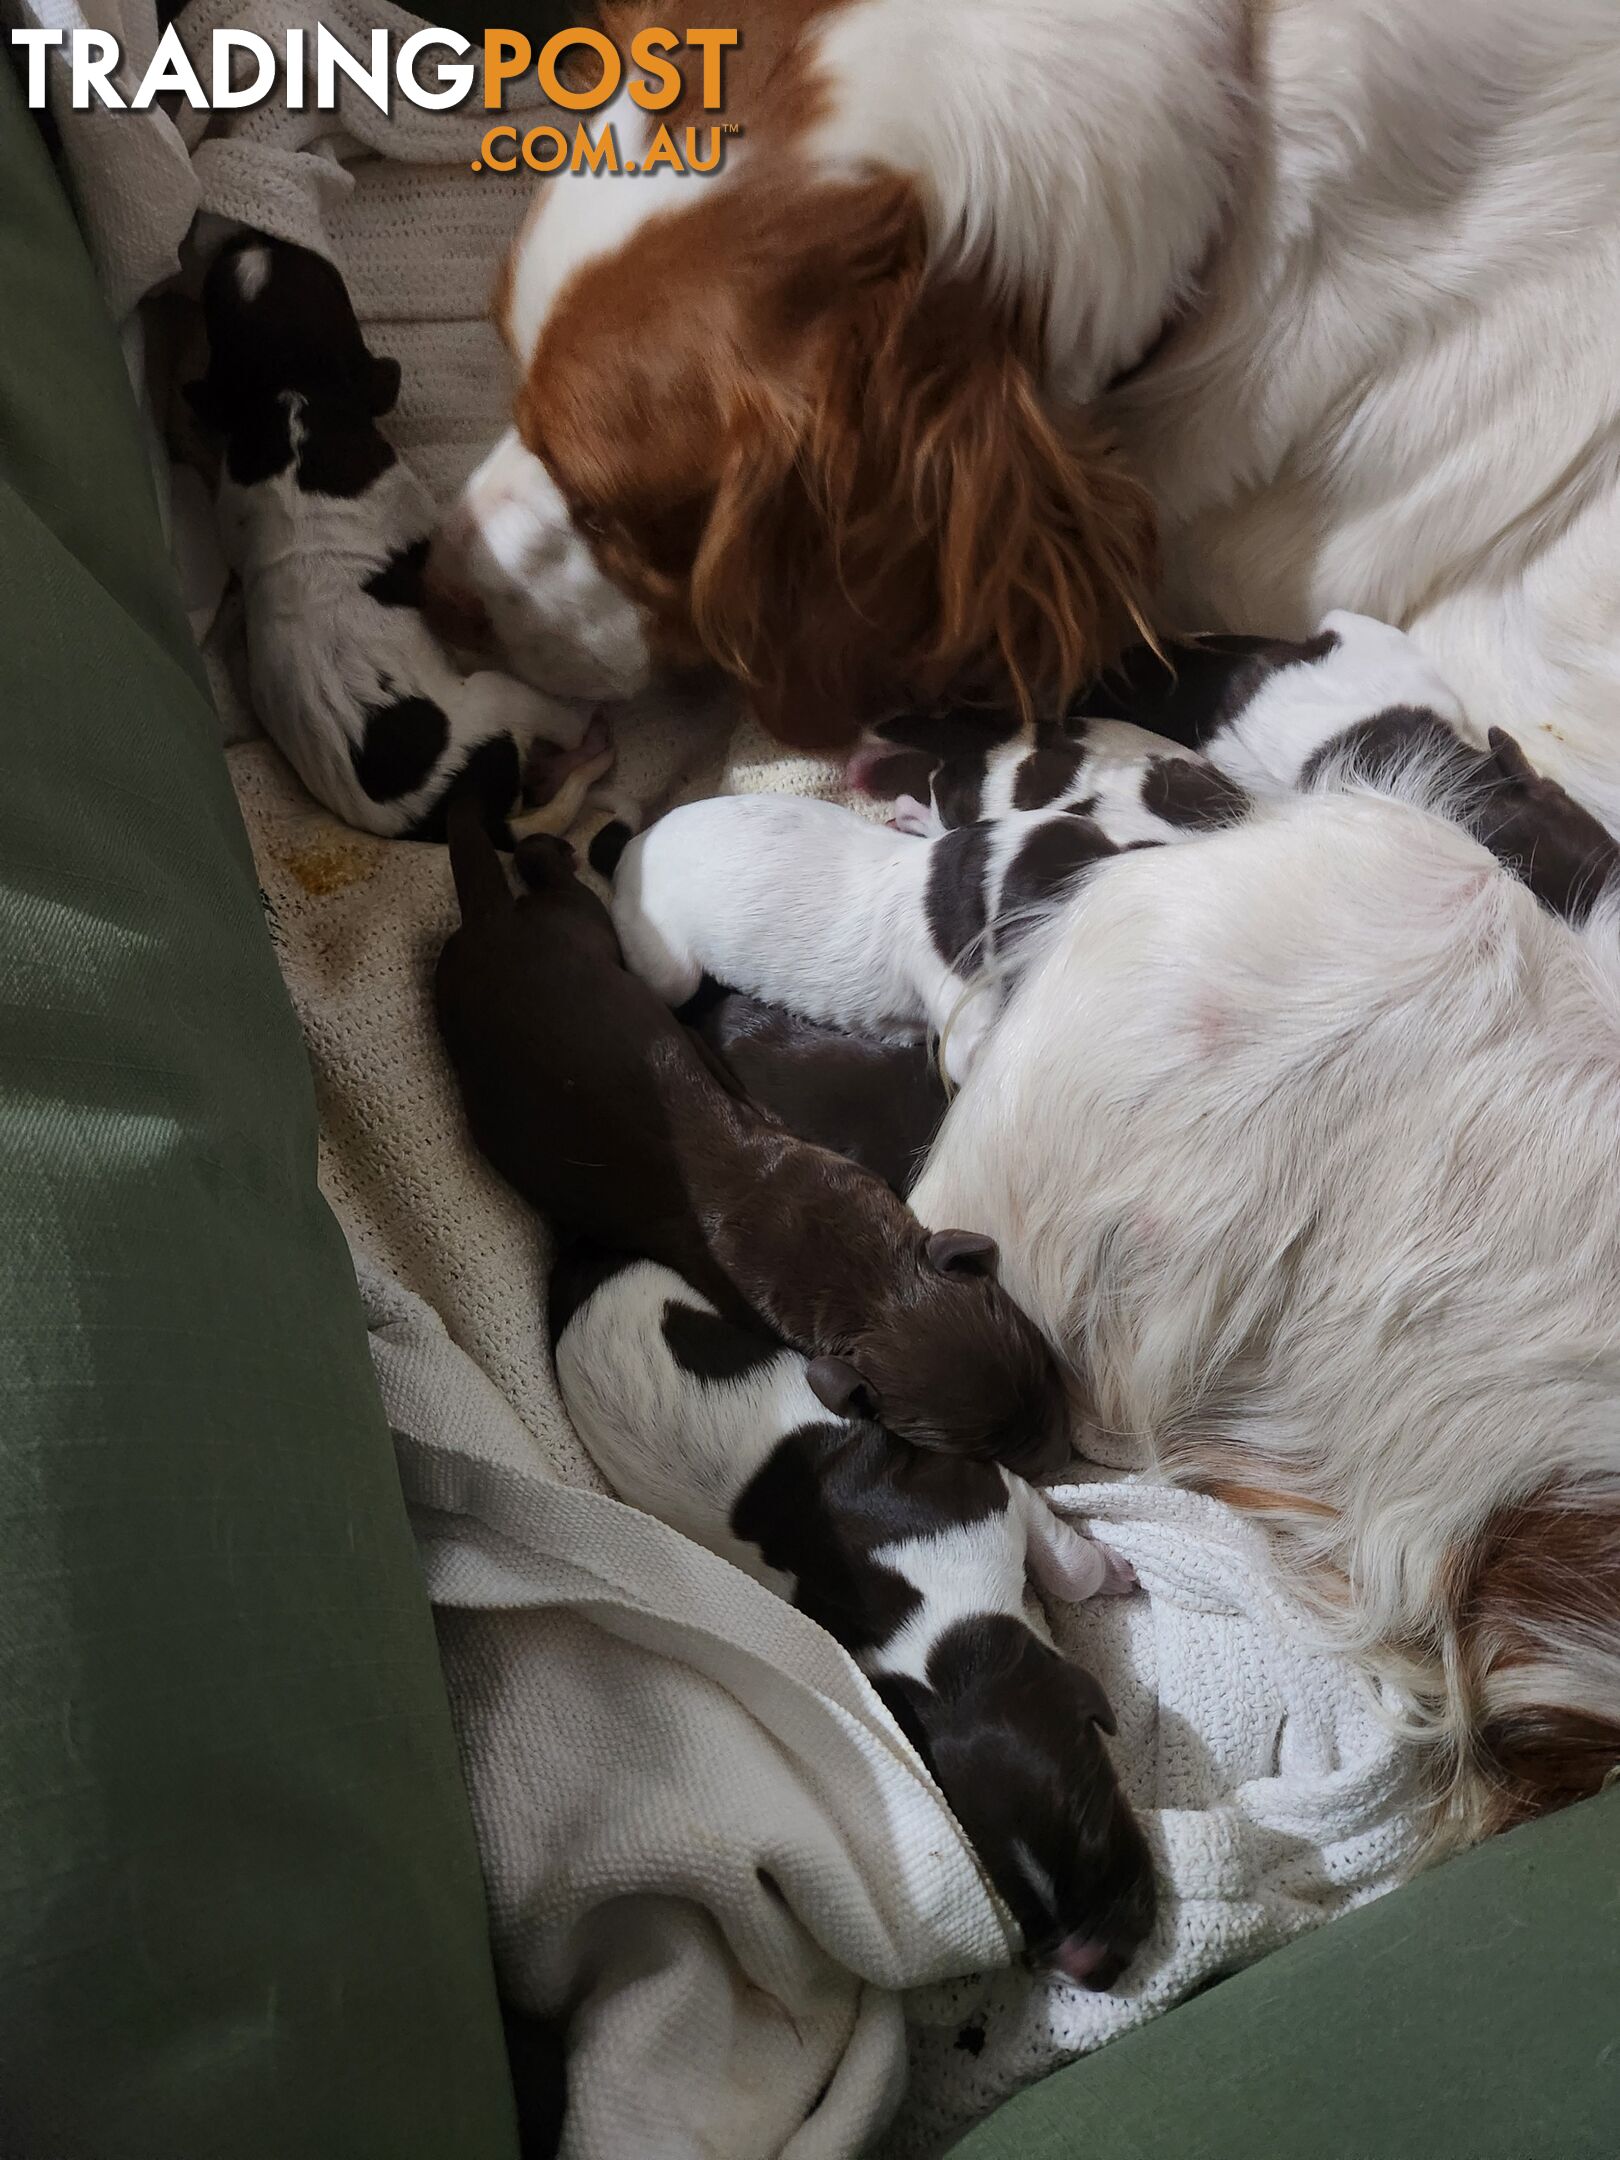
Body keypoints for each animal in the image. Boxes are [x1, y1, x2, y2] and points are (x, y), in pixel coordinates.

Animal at [190, 236, 609, 838]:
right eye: (326, 276)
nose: (245, 236)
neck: (286, 393)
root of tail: (455, 810)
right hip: (498, 697)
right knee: (566, 724)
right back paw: (591, 731)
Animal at [440, 803, 1080, 1477]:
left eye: (1037, 1362)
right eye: (980, 1451)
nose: (1062, 1460)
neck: (861, 1273)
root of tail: (487, 922)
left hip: (571, 930)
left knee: (555, 881)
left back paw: (549, 848)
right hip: (612, 957)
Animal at [557, 1252, 1157, 1987]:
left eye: (1094, 1834)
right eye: (1006, 1887)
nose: (1088, 1967)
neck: (943, 1660)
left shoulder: (990, 1491)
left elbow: (1065, 1567)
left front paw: (1110, 1573)